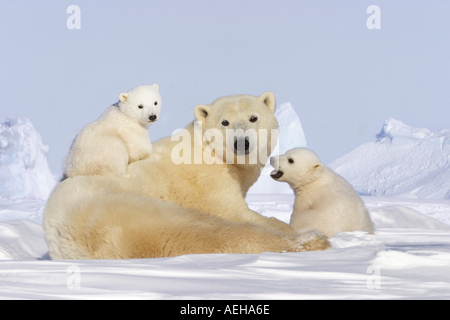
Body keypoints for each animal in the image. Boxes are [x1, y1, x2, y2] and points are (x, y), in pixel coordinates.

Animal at [44, 90, 330, 260]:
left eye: (253, 117)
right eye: (224, 122)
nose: (242, 143)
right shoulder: (207, 181)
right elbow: (234, 213)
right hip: (121, 211)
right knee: (198, 232)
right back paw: (313, 241)